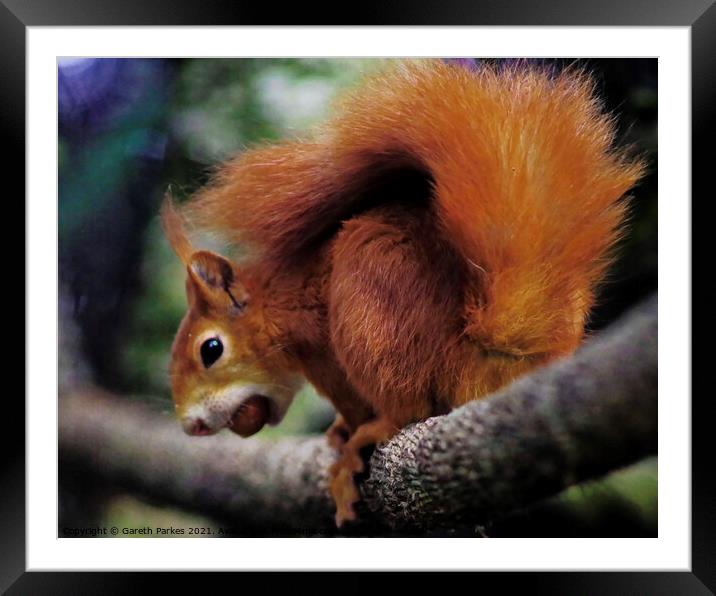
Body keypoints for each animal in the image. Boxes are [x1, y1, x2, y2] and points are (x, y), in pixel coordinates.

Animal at [162, 60, 644, 528]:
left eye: (210, 349)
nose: (192, 427)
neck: (275, 305)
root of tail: (485, 357)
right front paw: (337, 431)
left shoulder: (323, 355)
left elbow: (354, 402)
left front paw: (348, 434)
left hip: (368, 308)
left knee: (409, 406)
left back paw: (370, 437)